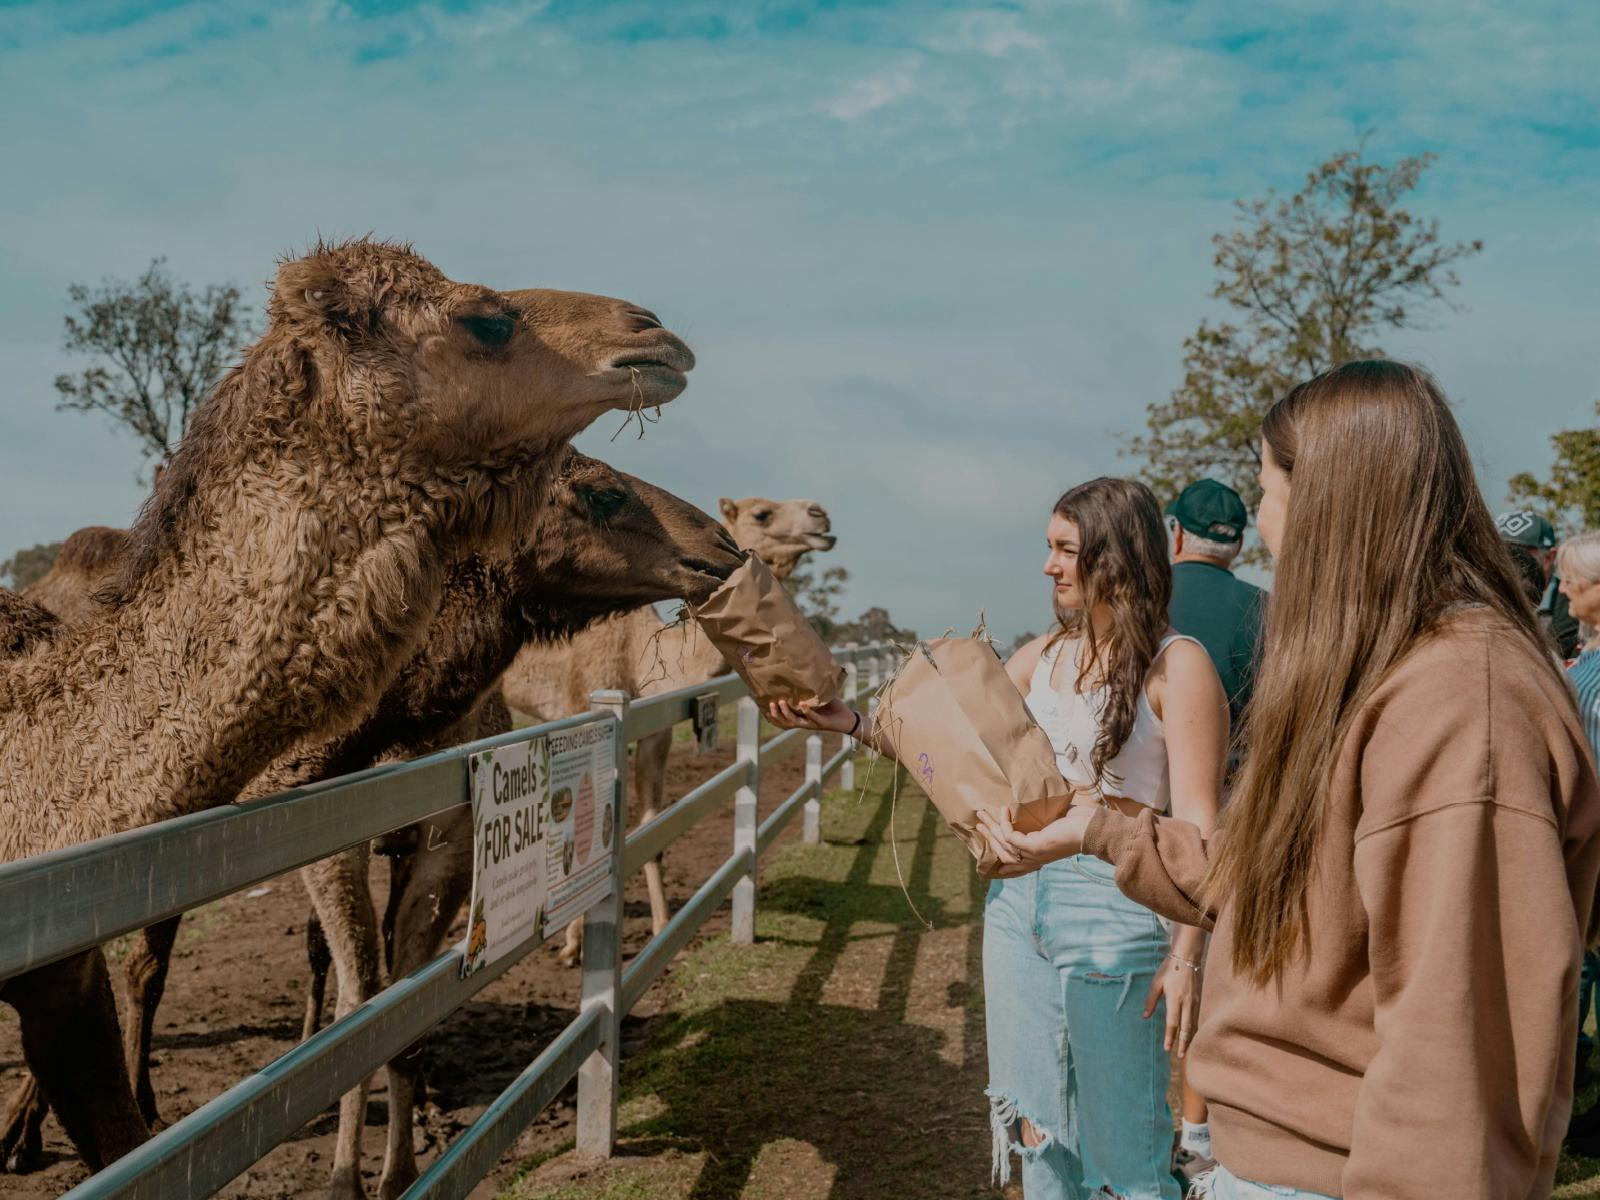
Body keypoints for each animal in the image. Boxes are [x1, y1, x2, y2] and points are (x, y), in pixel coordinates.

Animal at [500, 497, 835, 960]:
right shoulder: (583, 709)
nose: (821, 515)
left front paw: (661, 930)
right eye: (762, 514)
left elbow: (651, 827)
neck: (634, 657)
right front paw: (572, 946)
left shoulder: (654, 733)